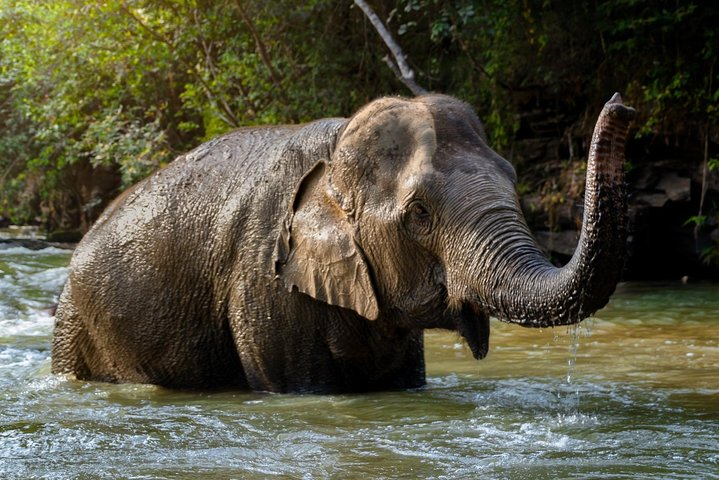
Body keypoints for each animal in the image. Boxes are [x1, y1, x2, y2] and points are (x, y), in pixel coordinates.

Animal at [51, 93, 635, 393]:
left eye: (514, 179)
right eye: (419, 213)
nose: (623, 106)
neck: (334, 153)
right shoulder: (263, 278)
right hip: (75, 331)